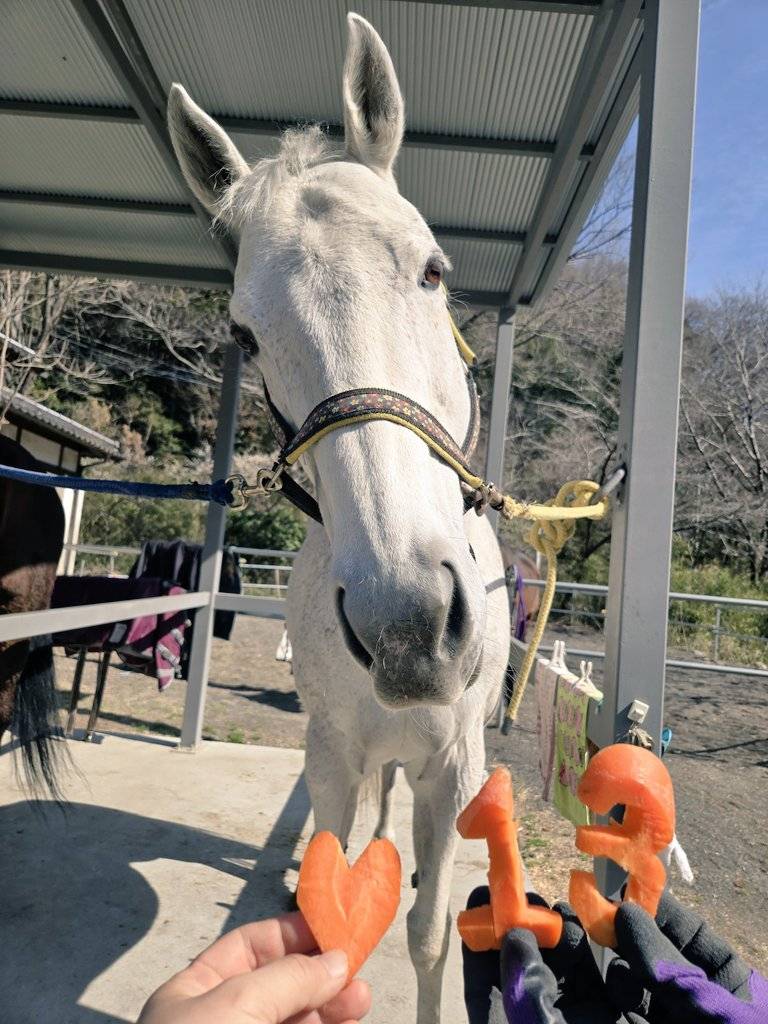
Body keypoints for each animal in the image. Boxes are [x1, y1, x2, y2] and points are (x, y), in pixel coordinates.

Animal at [168, 14, 510, 1021]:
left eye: (434, 270)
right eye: (244, 336)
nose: (409, 627)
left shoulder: (454, 767)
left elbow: (433, 933)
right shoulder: (329, 756)